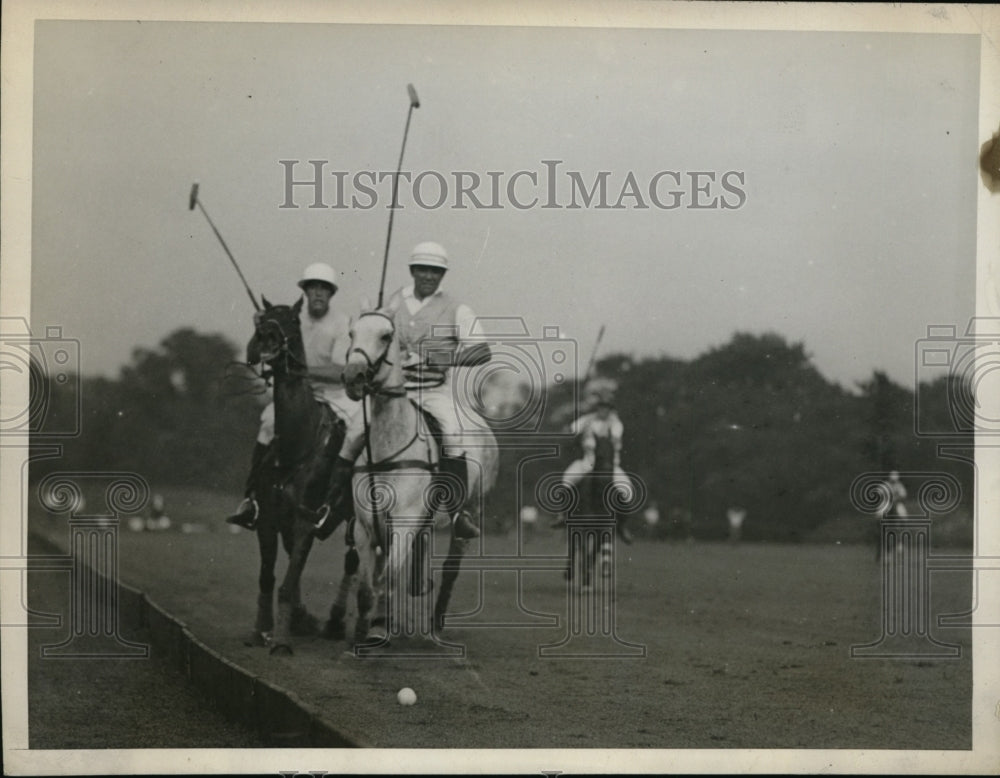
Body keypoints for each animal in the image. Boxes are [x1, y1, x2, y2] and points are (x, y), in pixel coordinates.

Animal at [244, 300, 350, 652]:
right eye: (262, 318)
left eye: (292, 319)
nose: (264, 339)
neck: (296, 446)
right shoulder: (269, 518)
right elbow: (268, 576)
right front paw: (261, 630)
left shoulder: (306, 519)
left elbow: (288, 583)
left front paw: (280, 641)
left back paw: (346, 623)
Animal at [342, 310, 498, 644]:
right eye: (351, 333)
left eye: (386, 336)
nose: (353, 377)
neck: (387, 448)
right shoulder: (365, 526)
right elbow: (367, 587)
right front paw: (365, 631)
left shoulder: (404, 521)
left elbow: (388, 579)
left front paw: (380, 629)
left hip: (473, 506)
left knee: (452, 565)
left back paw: (436, 623)